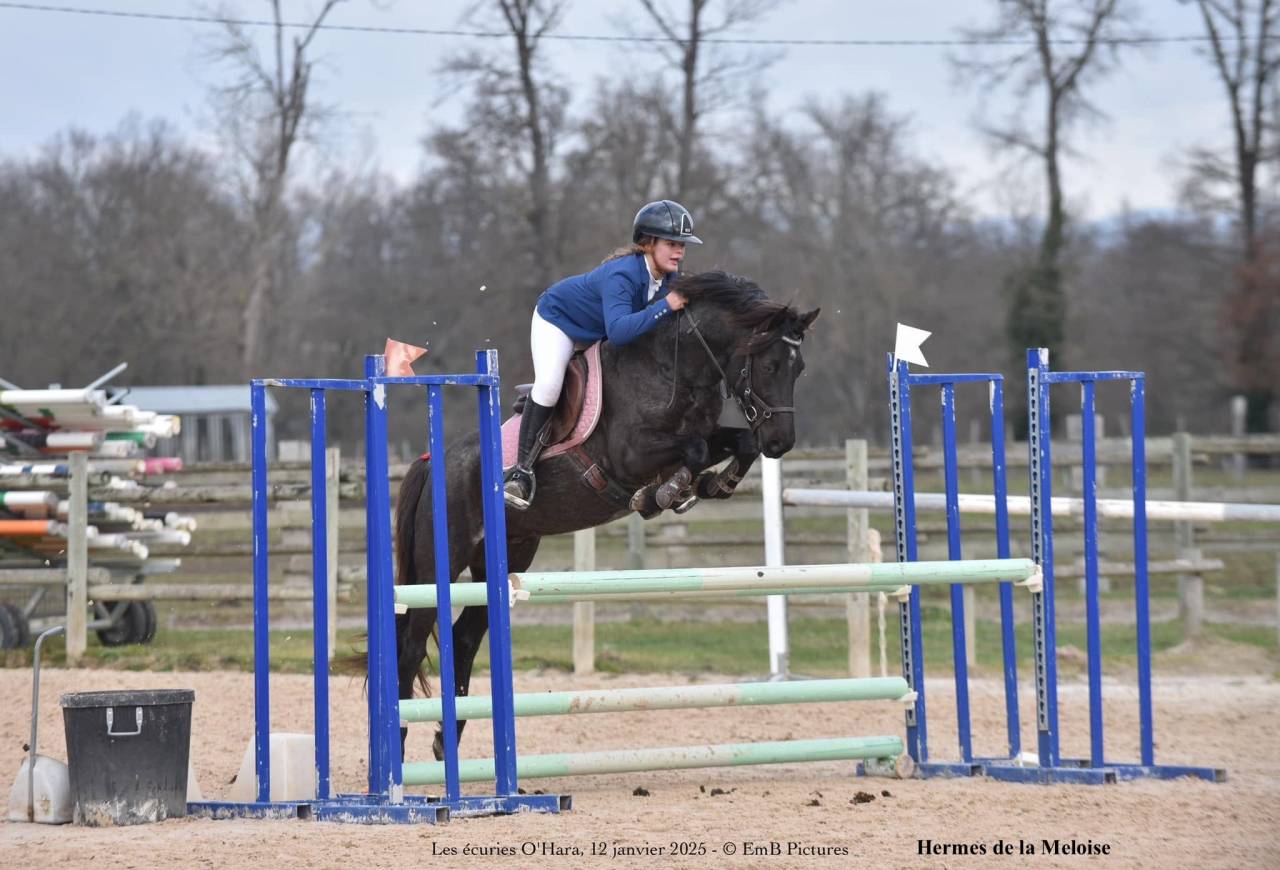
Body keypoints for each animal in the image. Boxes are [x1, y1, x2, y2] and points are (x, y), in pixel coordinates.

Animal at [393, 270, 819, 760]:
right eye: (769, 366)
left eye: (799, 369)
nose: (781, 443)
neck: (674, 368)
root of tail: (432, 462)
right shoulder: (629, 455)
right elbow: (692, 451)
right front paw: (662, 494)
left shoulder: (707, 435)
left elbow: (733, 443)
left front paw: (709, 486)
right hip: (439, 563)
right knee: (411, 643)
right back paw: (398, 748)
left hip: (505, 558)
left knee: (465, 638)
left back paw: (448, 740)